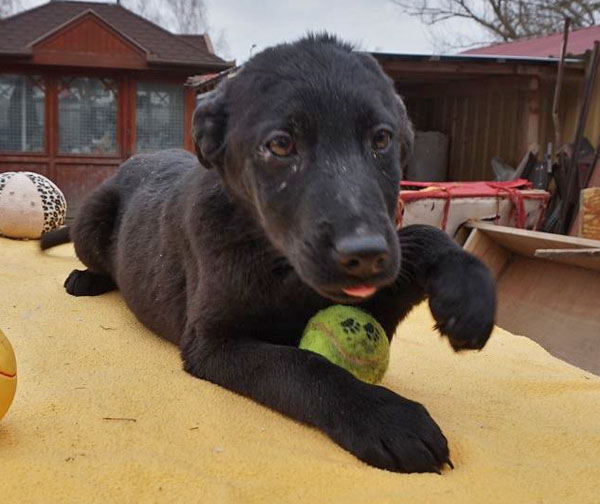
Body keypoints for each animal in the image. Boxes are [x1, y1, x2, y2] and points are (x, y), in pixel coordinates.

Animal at [41, 34, 492, 472]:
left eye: (381, 139)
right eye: (280, 145)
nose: (365, 255)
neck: (279, 264)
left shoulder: (374, 299)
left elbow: (423, 234)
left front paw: (467, 296)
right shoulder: (213, 342)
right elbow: (304, 366)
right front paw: (385, 417)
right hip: (91, 219)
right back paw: (86, 279)